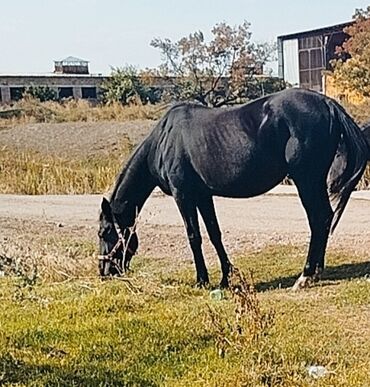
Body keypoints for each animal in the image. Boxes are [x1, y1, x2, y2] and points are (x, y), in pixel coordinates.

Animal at [97, 88, 368, 290]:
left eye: (104, 232)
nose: (103, 270)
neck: (164, 141)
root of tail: (327, 103)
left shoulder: (183, 195)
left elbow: (194, 236)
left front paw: (202, 280)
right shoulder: (203, 195)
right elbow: (214, 234)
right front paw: (226, 278)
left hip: (306, 180)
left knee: (318, 218)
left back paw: (306, 275)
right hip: (314, 180)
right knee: (325, 218)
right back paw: (317, 271)